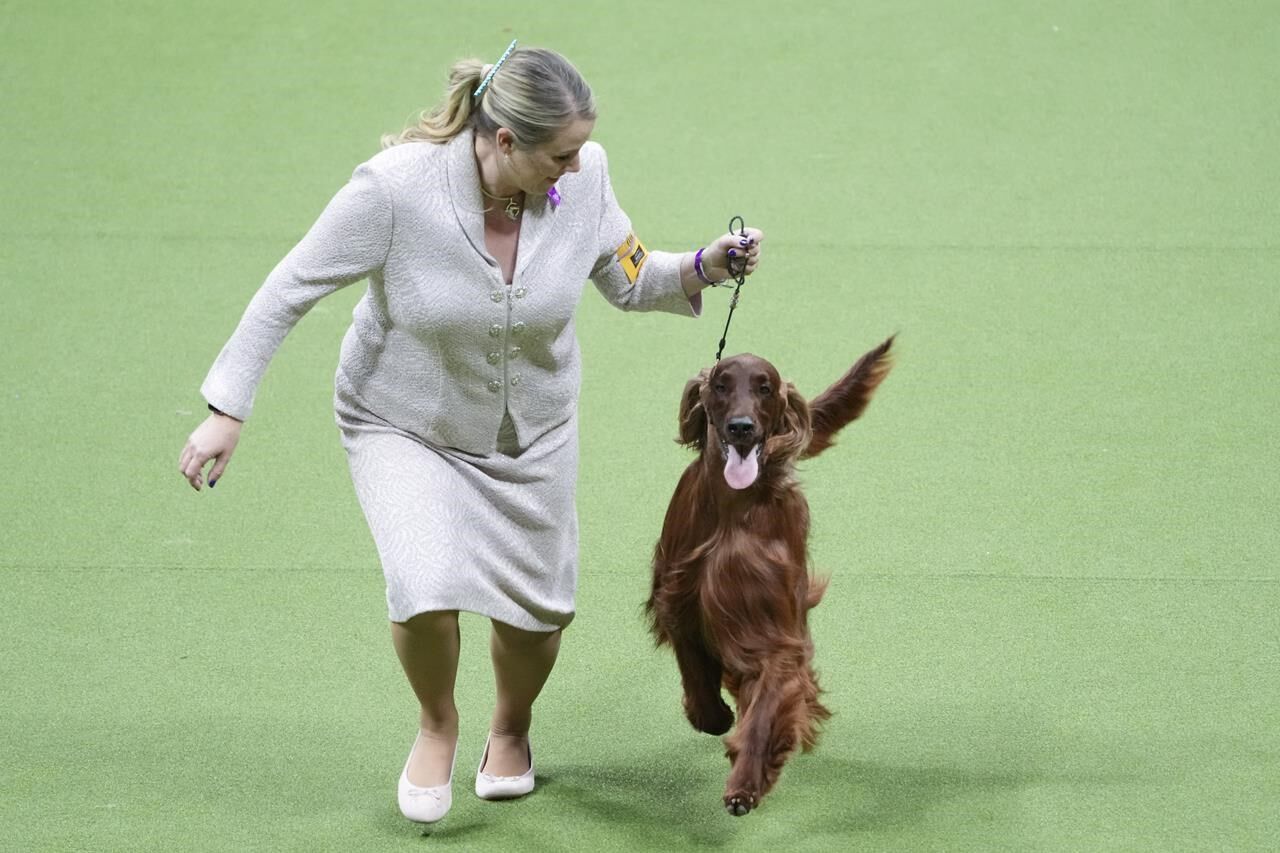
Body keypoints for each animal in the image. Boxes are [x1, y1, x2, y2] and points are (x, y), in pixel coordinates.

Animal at [650, 335, 890, 814]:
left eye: (764, 388)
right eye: (721, 385)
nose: (741, 427)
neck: (733, 509)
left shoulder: (776, 631)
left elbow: (764, 712)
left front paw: (745, 785)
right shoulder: (680, 595)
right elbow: (694, 666)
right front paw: (711, 714)